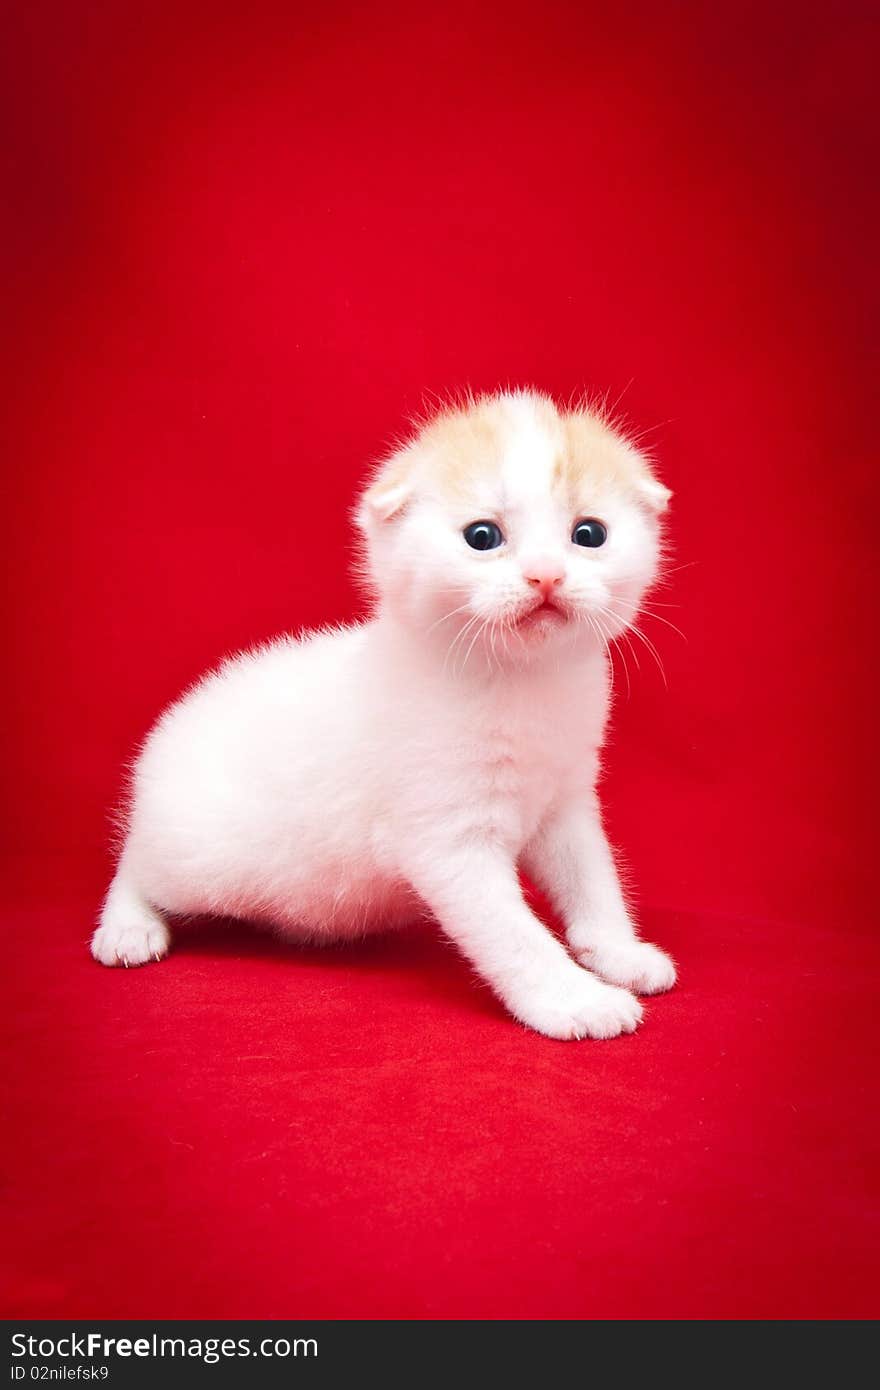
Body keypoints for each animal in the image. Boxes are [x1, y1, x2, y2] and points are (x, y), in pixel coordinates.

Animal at [92, 386, 675, 1039]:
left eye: (589, 533)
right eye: (482, 536)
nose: (546, 575)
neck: (520, 680)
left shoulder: (566, 804)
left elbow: (594, 883)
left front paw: (620, 953)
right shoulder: (447, 841)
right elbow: (515, 935)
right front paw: (575, 999)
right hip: (198, 858)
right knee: (136, 862)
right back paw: (128, 927)